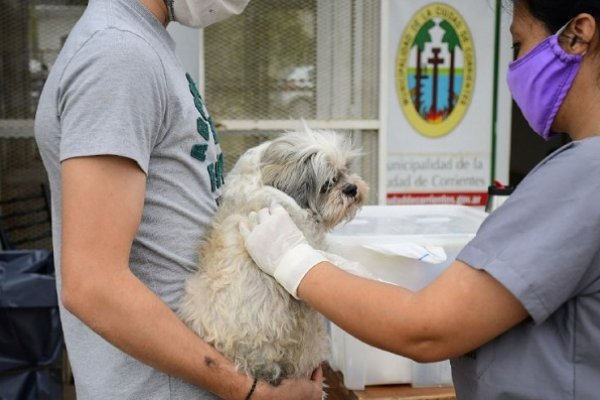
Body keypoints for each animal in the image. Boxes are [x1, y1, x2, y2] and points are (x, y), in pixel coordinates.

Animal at [176, 124, 368, 388]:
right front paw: (360, 270)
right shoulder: (307, 240)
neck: (262, 179)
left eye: (346, 170)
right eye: (328, 183)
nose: (351, 188)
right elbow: (325, 260)